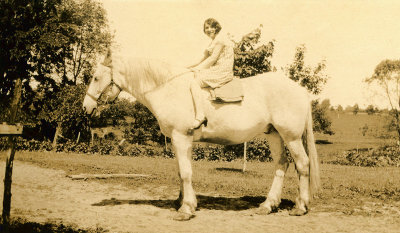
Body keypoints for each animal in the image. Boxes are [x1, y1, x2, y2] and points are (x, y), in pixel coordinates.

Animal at [83, 52, 320, 220]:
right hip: (274, 135)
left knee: (302, 164)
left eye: (95, 77)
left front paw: (186, 209)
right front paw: (184, 202)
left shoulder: (181, 137)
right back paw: (268, 205)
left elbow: (186, 173)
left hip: (291, 137)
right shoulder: (181, 141)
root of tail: (300, 89)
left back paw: (300, 206)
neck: (169, 89)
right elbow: (182, 171)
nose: (86, 107)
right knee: (281, 165)